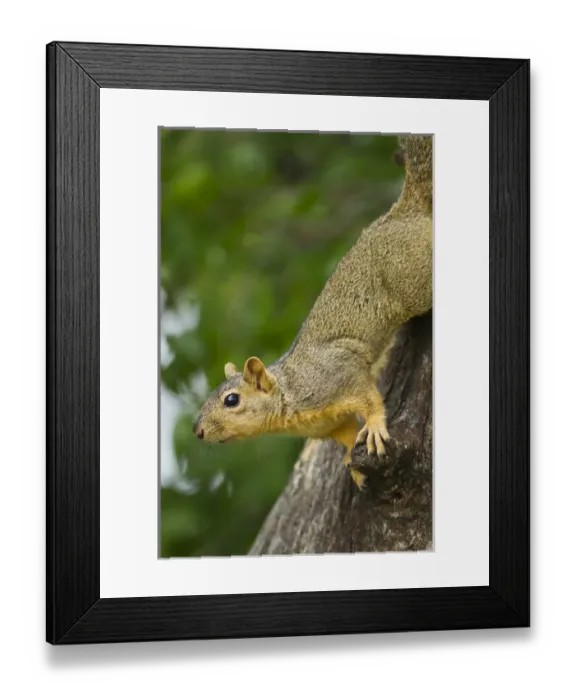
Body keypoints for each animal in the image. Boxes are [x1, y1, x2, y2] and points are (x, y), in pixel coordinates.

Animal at [193, 135, 433, 489]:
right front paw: (352, 464)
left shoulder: (340, 374)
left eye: (231, 400)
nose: (198, 431)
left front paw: (375, 427)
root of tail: (401, 213)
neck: (289, 397)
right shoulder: (331, 424)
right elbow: (346, 436)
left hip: (413, 279)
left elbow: (370, 399)